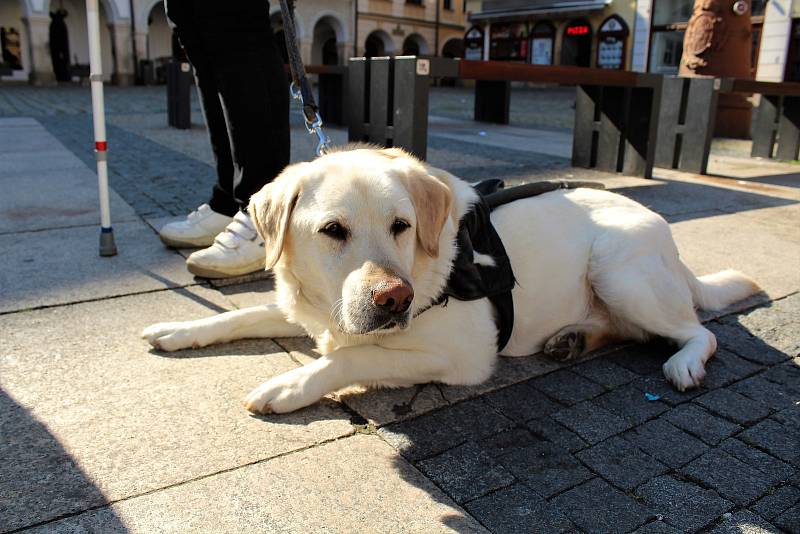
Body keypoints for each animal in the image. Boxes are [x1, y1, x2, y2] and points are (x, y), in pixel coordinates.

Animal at [141, 146, 760, 414]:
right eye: (333, 230)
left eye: (402, 226)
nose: (395, 298)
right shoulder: (317, 309)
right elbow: (244, 313)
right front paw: (179, 329)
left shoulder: (462, 355)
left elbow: (351, 357)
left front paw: (289, 385)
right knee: (629, 330)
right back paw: (573, 338)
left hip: (619, 270)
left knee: (698, 330)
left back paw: (684, 362)